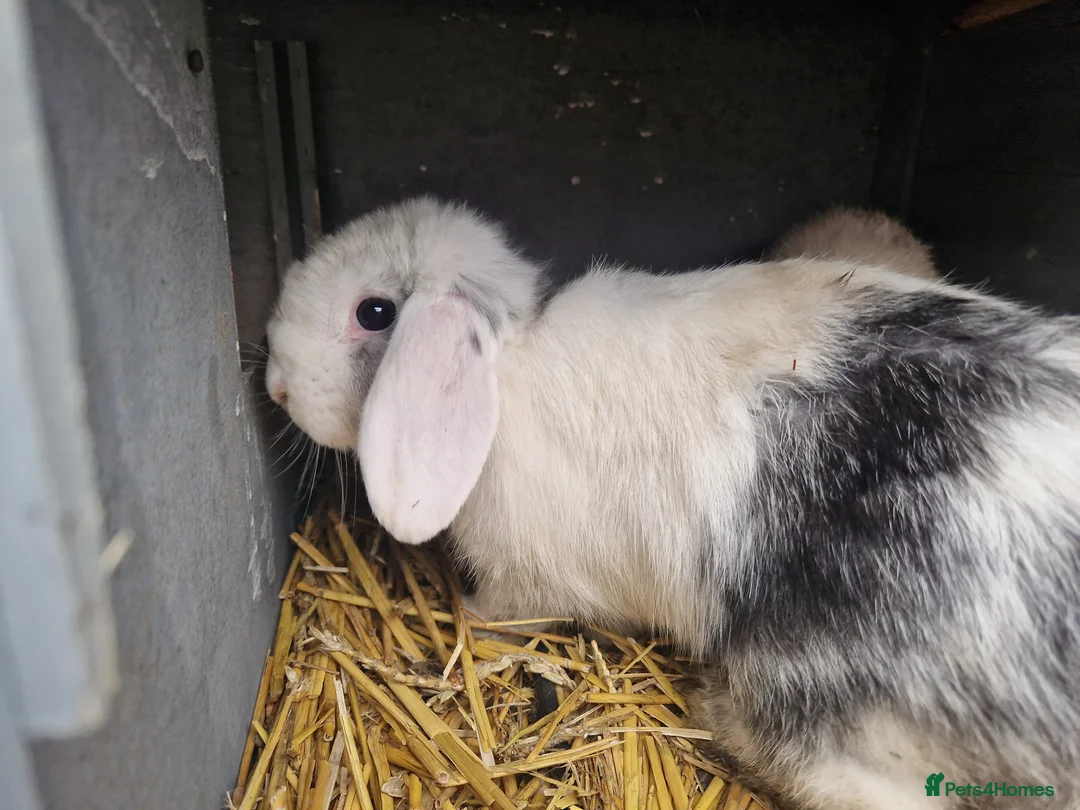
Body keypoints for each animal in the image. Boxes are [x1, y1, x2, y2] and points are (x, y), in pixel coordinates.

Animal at [265, 196, 1080, 810]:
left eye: (374, 313)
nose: (273, 383)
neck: (505, 370)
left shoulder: (528, 582)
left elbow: (501, 616)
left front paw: (468, 622)